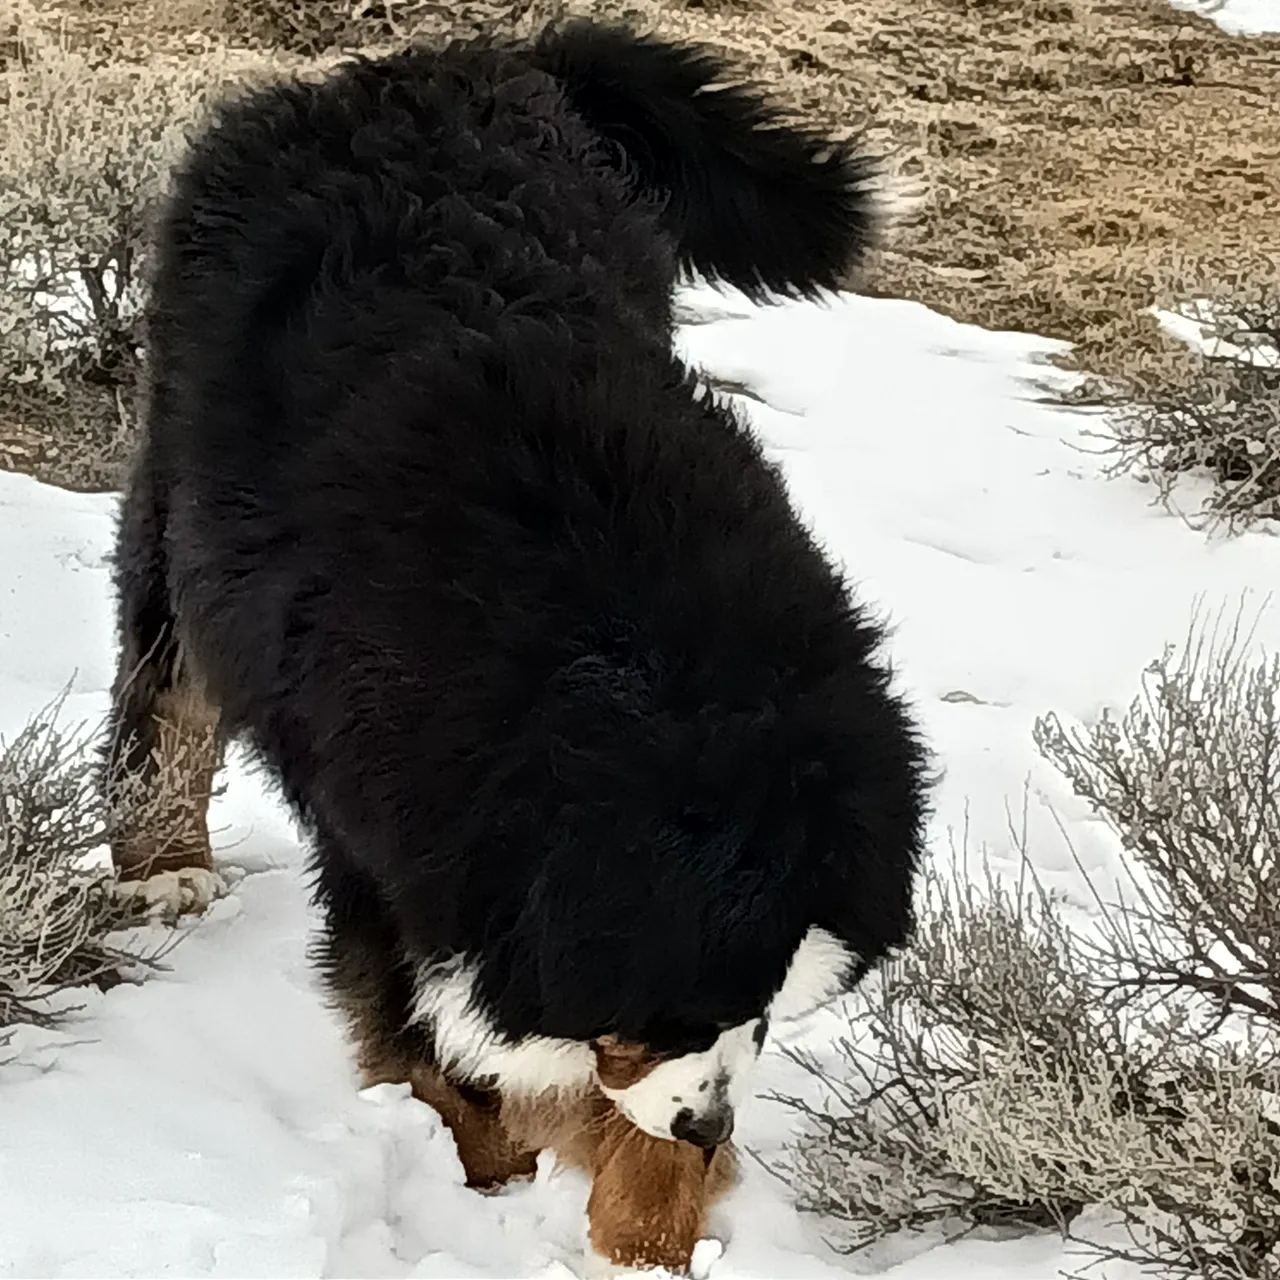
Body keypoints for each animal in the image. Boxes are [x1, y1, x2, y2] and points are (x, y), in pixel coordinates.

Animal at [104, 22, 926, 1280]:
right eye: (679, 1005)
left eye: (767, 1008)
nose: (712, 1123)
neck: (636, 650)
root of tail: (445, 59)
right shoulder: (395, 824)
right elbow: (435, 1031)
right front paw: (491, 1161)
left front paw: (645, 1226)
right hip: (188, 468)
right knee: (169, 670)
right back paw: (162, 857)